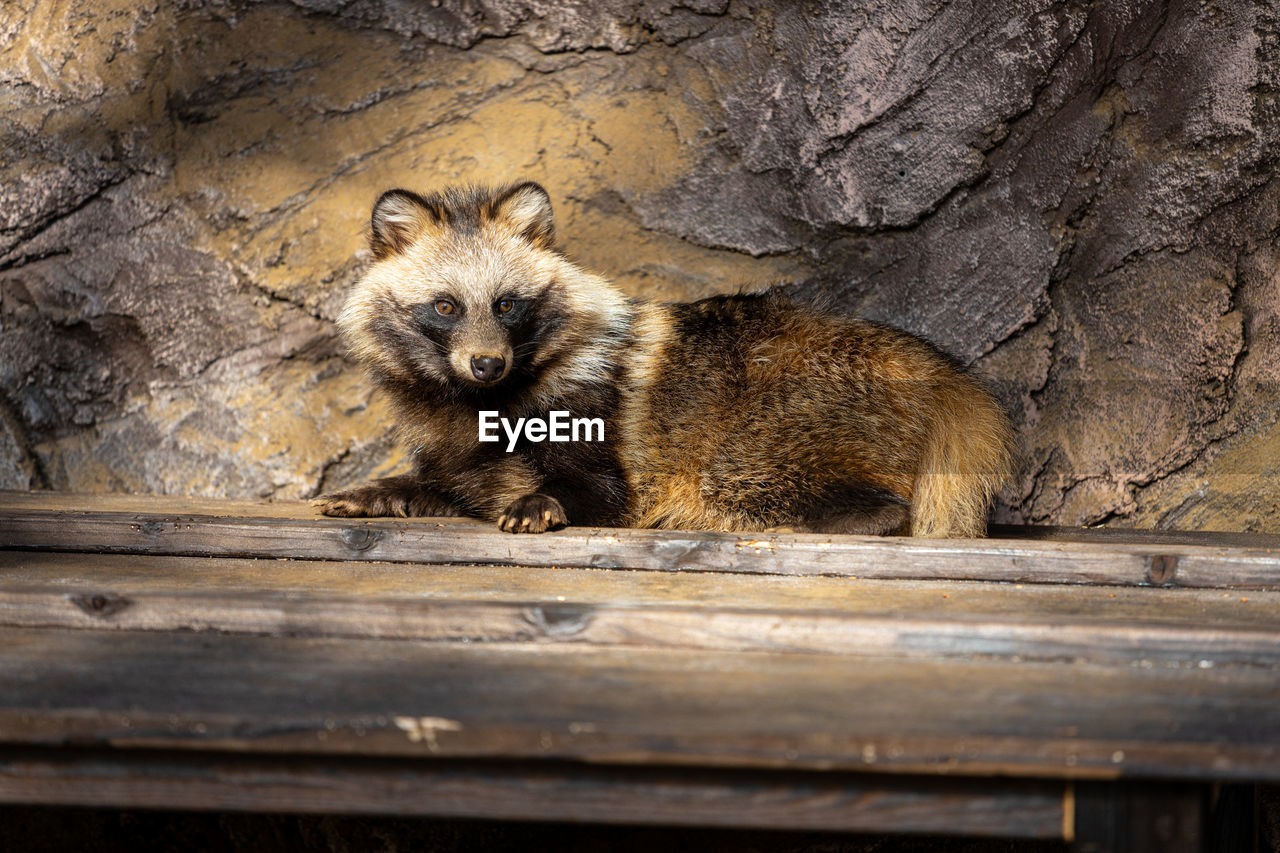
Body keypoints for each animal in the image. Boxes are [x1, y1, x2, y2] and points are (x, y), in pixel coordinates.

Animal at [314, 181, 1013, 535]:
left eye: (507, 304)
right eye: (446, 306)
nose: (487, 365)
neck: (482, 402)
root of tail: (939, 374)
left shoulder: (598, 424)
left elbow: (602, 489)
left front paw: (547, 501)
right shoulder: (459, 453)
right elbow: (452, 481)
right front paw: (388, 489)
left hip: (770, 432)